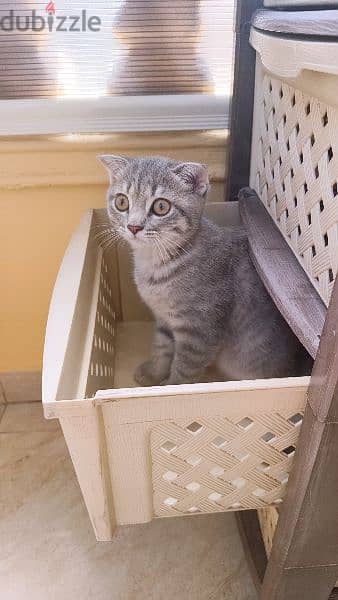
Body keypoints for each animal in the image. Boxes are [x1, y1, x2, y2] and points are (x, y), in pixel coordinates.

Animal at [97, 156, 304, 384]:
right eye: (122, 202)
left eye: (161, 206)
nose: (134, 226)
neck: (155, 263)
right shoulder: (164, 318)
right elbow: (162, 347)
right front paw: (153, 373)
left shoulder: (199, 333)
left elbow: (183, 371)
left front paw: (170, 387)